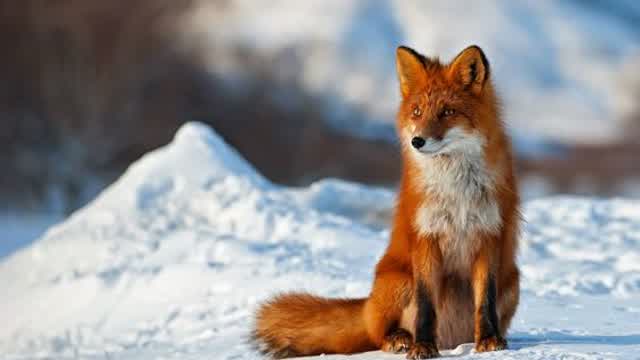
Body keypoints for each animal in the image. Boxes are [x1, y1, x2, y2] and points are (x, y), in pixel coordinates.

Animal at [250, 45, 520, 360]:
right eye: (417, 112)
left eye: (447, 112)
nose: (417, 141)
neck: (456, 191)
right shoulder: (425, 238)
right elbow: (426, 306)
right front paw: (423, 346)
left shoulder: (489, 236)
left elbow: (485, 301)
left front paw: (489, 340)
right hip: (399, 281)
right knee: (378, 334)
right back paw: (400, 339)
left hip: (512, 282)